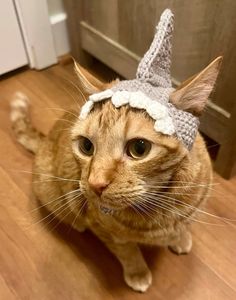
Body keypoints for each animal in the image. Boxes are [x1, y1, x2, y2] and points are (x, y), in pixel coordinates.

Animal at [10, 57, 221, 292]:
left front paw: (180, 239)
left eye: (139, 148)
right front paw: (137, 272)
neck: (159, 207)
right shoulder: (104, 230)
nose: (95, 183)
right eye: (86, 146)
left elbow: (184, 226)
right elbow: (128, 252)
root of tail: (45, 138)